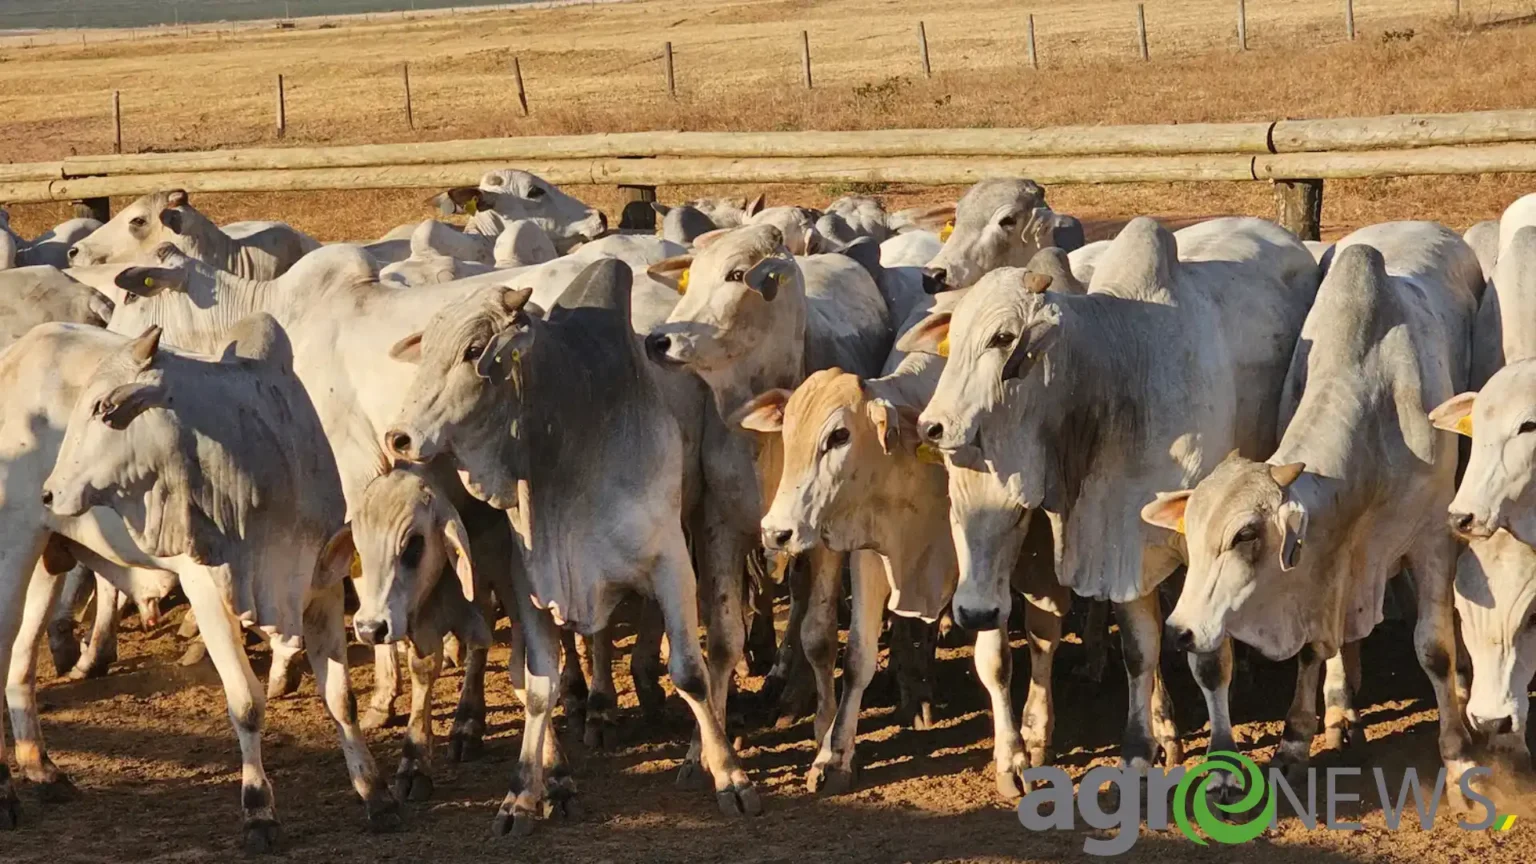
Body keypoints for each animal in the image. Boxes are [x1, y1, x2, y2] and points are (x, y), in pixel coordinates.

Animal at [1148, 219, 1480, 793]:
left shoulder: (1434, 539)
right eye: (1191, 530)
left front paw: (1456, 750)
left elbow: (1432, 647)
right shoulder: (1324, 560)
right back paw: (1342, 710)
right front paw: (1296, 738)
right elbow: (1311, 648)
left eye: (1245, 535)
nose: (1180, 631)